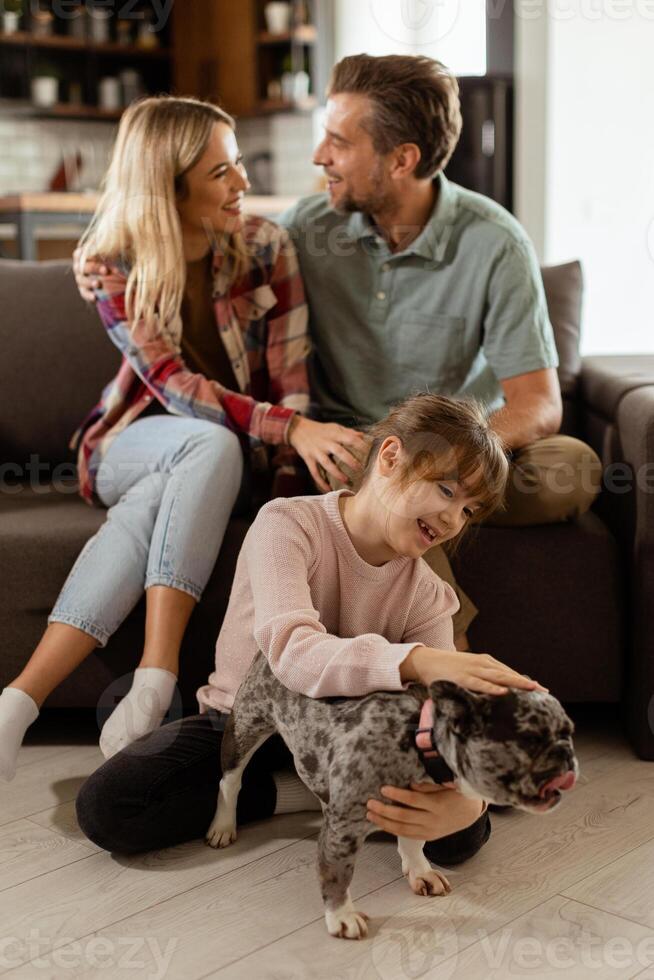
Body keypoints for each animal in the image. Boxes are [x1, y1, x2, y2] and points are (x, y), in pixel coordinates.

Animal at [206, 652, 580, 940]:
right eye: (529, 740)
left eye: (569, 732)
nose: (566, 754)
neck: (418, 738)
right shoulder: (344, 827)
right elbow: (337, 872)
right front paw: (342, 916)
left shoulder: (416, 803)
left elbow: (414, 839)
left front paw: (420, 871)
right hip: (245, 726)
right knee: (230, 780)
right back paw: (223, 826)